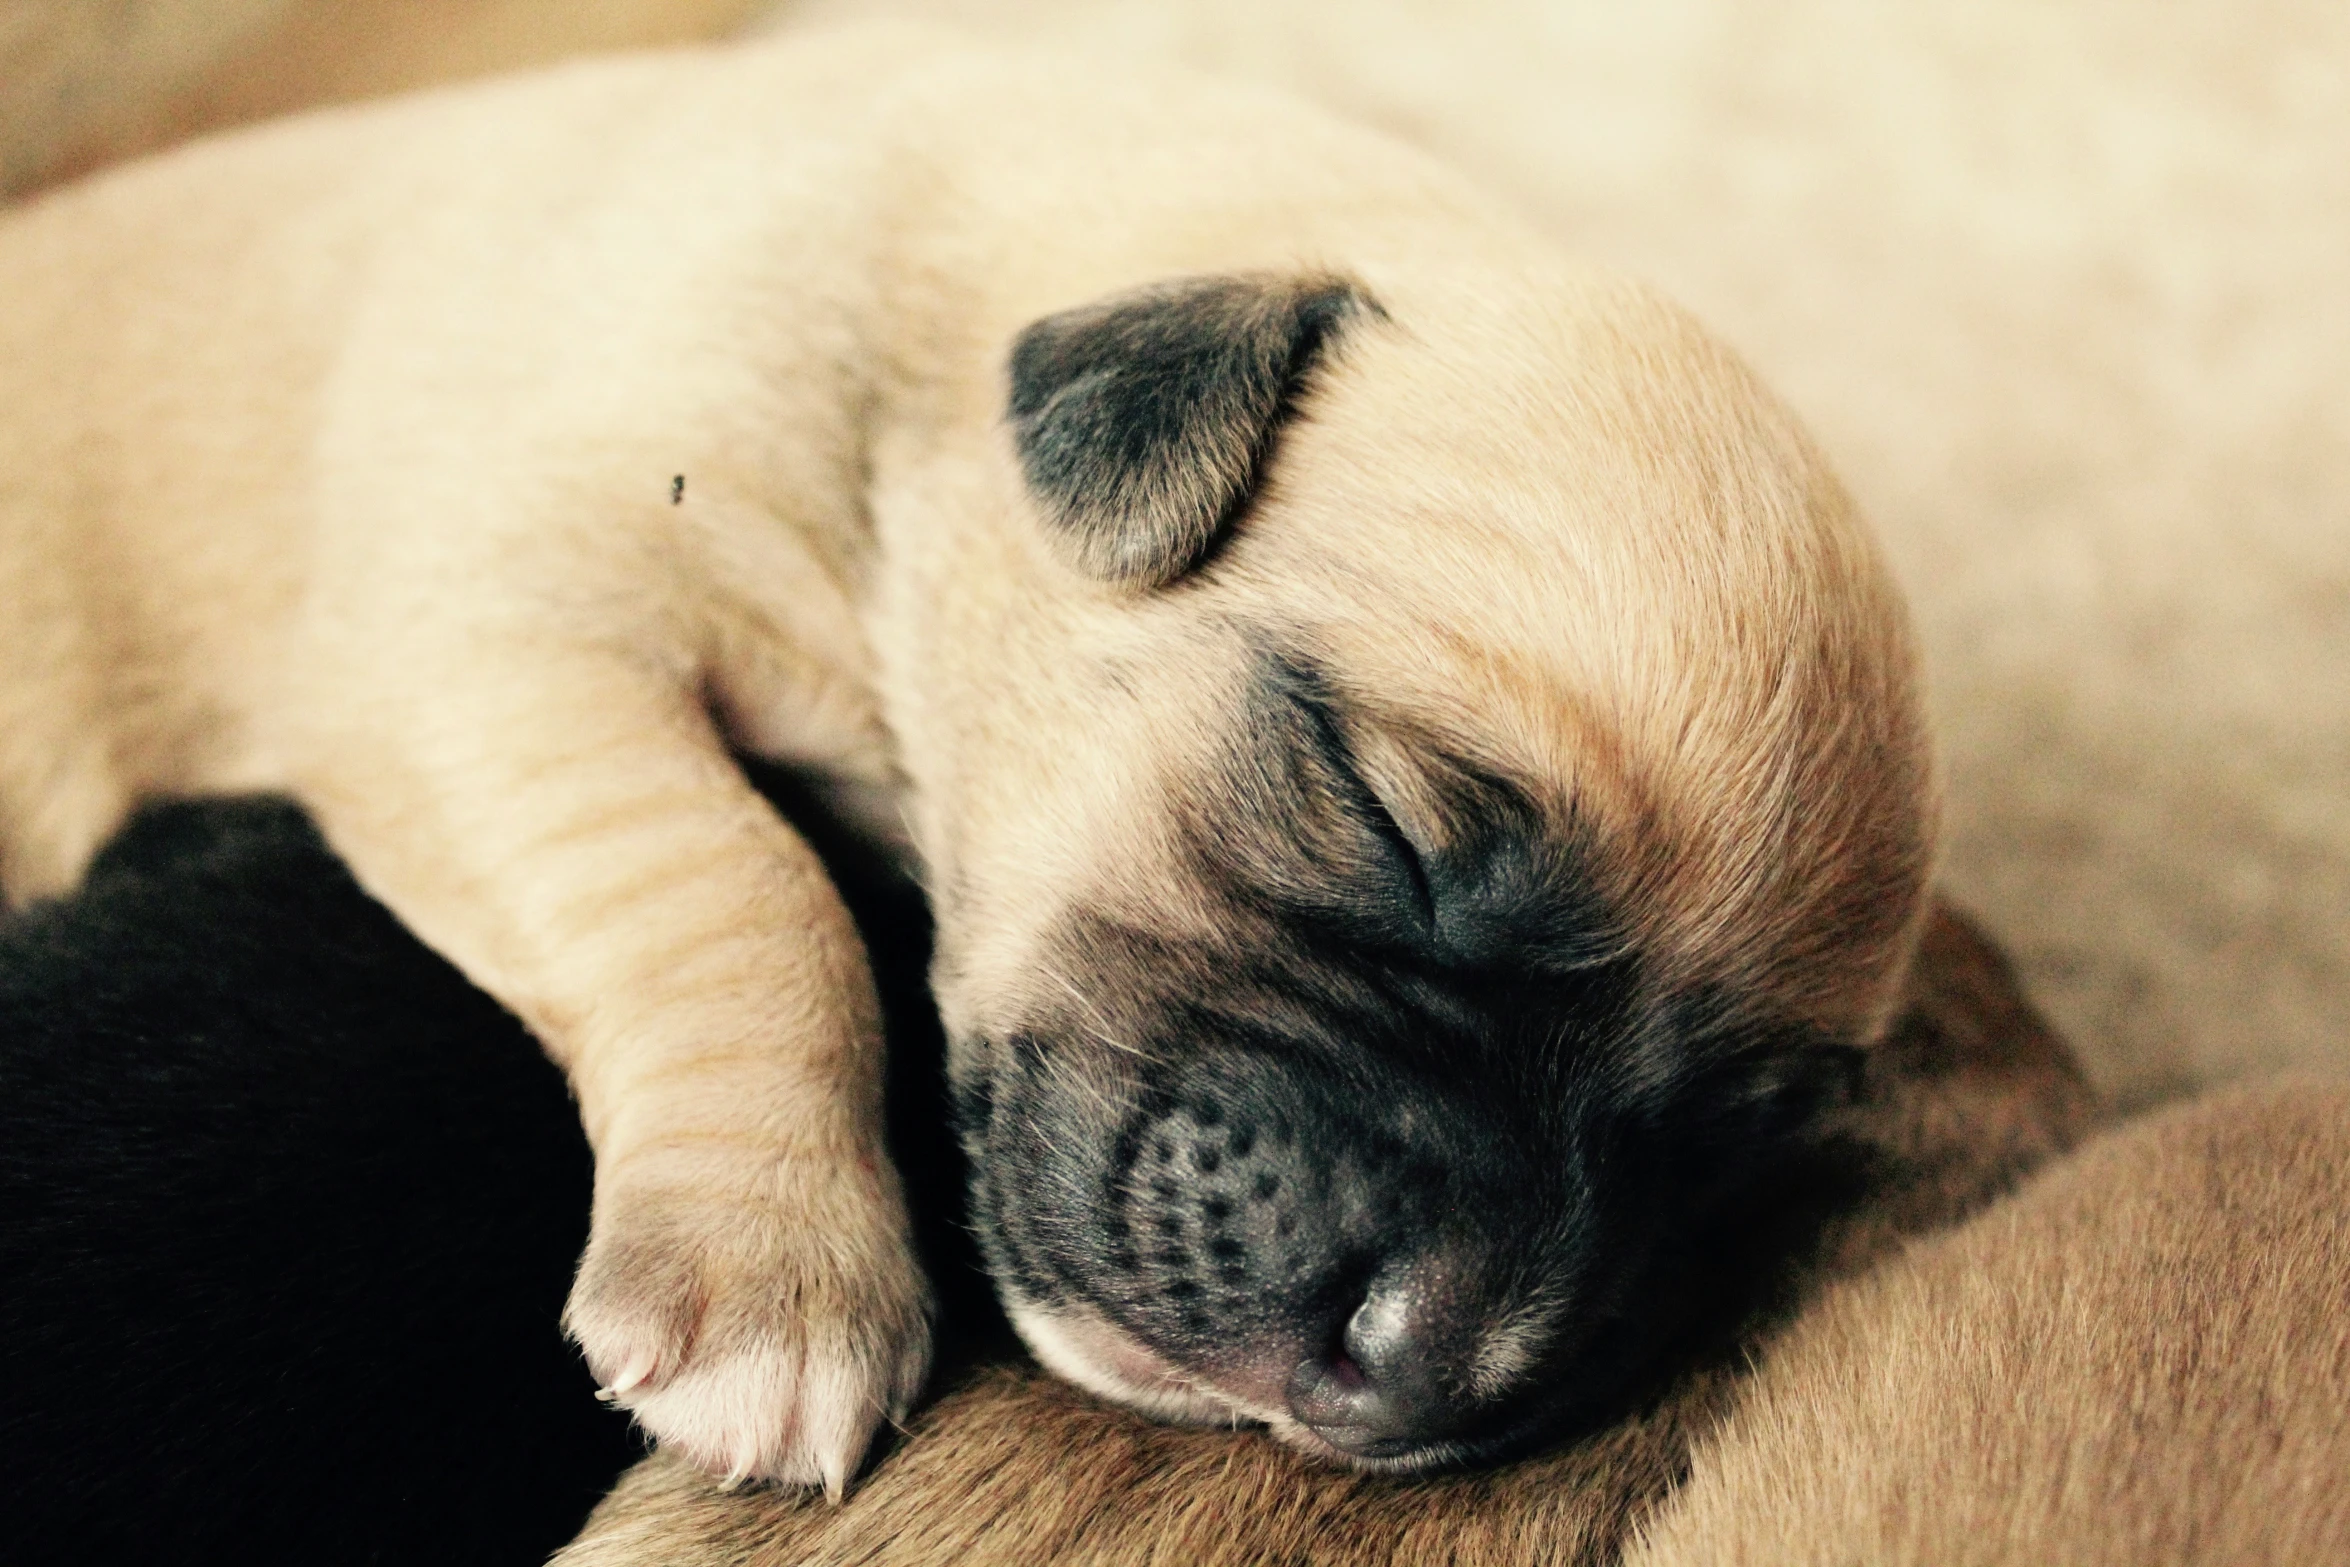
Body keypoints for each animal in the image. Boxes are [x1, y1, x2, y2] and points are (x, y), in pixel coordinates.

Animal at [0, 27, 1926, 1494]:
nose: (1423, 1368)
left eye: (1725, 1139)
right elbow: (738, 886)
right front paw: (769, 1283)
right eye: (1386, 818)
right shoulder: (508, 618)